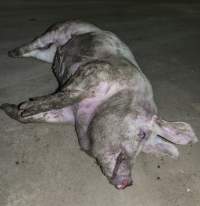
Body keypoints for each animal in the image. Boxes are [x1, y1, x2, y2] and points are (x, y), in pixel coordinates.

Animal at [0, 20, 198, 190]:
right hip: (60, 29)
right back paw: (11, 53)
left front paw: (10, 108)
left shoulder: (67, 114)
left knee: (38, 52)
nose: (128, 182)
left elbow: (45, 114)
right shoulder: (97, 72)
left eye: (146, 150)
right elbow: (68, 95)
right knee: (36, 42)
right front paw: (25, 107)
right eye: (142, 134)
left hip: (47, 55)